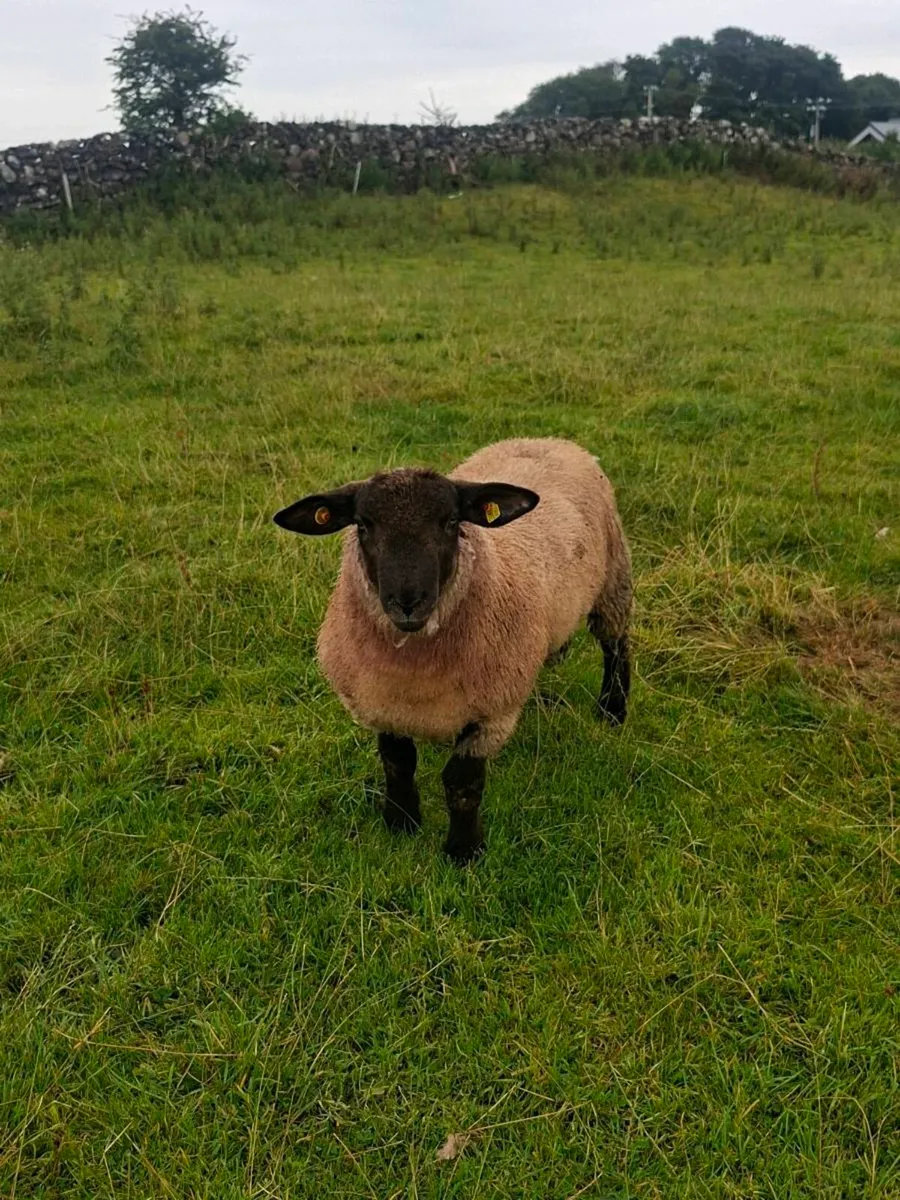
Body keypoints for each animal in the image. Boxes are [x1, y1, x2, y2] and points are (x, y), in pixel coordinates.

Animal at [273, 437, 632, 863]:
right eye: (363, 525)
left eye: (450, 522)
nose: (408, 603)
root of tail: (551, 440)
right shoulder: (383, 706)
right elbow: (397, 765)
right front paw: (401, 823)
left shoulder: (492, 714)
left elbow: (462, 785)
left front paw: (463, 850)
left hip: (614, 578)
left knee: (615, 645)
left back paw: (612, 709)